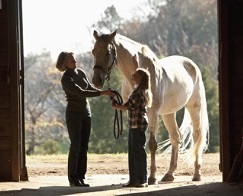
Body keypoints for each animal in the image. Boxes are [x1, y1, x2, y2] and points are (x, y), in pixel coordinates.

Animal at [91, 29, 209, 185]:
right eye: (93, 51)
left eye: (107, 52)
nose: (96, 81)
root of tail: (192, 65)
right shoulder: (130, 109)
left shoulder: (152, 112)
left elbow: (152, 144)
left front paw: (152, 177)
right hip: (168, 113)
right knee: (175, 136)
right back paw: (169, 174)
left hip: (194, 107)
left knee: (196, 137)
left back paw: (196, 174)